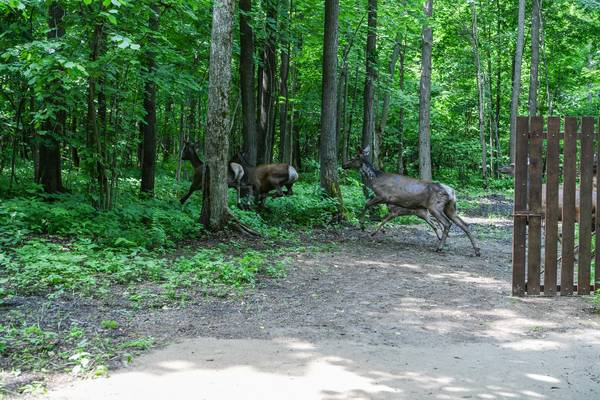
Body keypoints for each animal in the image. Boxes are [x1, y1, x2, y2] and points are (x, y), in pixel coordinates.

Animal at [342, 147, 478, 256]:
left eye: (353, 157)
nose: (343, 165)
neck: (374, 180)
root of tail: (451, 192)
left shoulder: (384, 196)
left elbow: (367, 204)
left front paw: (362, 224)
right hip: (450, 208)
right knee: (464, 224)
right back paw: (477, 250)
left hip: (435, 206)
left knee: (447, 223)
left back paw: (439, 248)